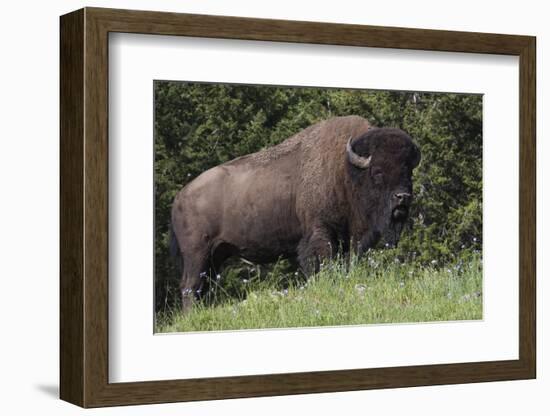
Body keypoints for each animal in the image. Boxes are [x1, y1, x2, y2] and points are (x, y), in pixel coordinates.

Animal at [172, 115, 422, 310]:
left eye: (407, 171)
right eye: (377, 172)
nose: (402, 197)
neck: (345, 171)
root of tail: (180, 197)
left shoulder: (347, 239)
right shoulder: (321, 232)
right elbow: (321, 262)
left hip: (215, 255)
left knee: (201, 287)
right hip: (197, 254)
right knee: (190, 286)